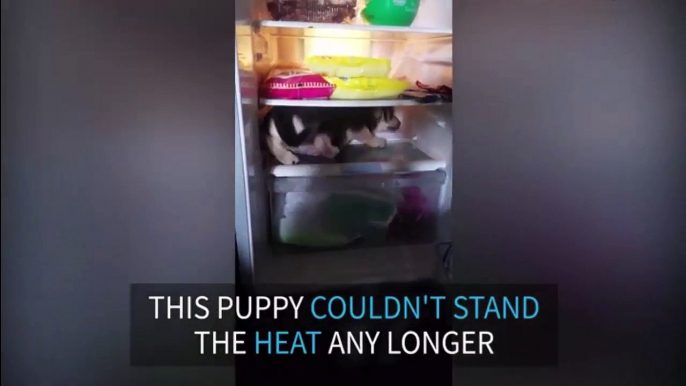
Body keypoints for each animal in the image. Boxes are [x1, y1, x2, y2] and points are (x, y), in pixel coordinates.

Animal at [264, 106, 404, 165]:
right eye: (392, 115)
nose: (400, 123)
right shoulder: (355, 124)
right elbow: (366, 134)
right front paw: (378, 141)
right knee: (272, 140)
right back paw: (287, 157)